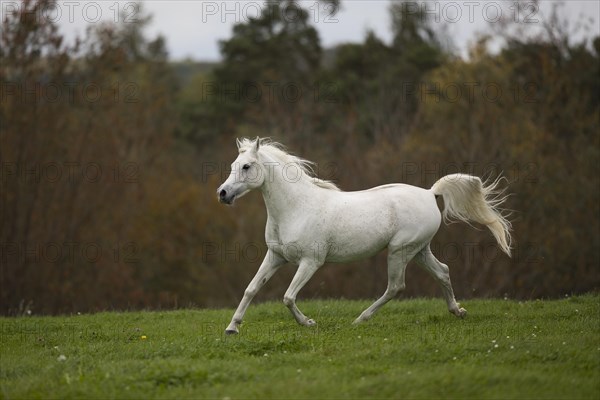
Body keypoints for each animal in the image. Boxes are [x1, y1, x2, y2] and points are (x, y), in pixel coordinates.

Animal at [216, 138, 510, 334]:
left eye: (247, 166)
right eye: (233, 164)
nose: (223, 193)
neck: (296, 208)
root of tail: (430, 193)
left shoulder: (311, 262)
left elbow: (288, 297)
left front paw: (309, 323)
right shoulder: (275, 256)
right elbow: (251, 288)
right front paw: (232, 327)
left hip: (400, 250)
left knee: (396, 287)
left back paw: (360, 319)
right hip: (419, 250)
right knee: (443, 271)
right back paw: (457, 311)